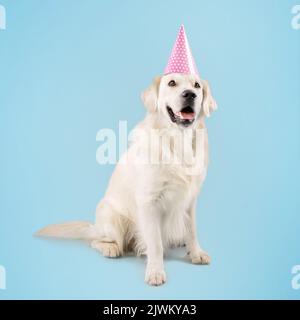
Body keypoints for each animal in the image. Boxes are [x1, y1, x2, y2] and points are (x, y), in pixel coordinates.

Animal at [36, 73, 217, 288]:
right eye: (172, 83)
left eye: (197, 85)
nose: (190, 94)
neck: (177, 142)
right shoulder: (149, 202)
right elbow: (155, 243)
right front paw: (155, 271)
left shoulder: (190, 200)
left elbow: (192, 231)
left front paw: (195, 253)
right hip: (112, 218)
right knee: (96, 241)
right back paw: (110, 248)